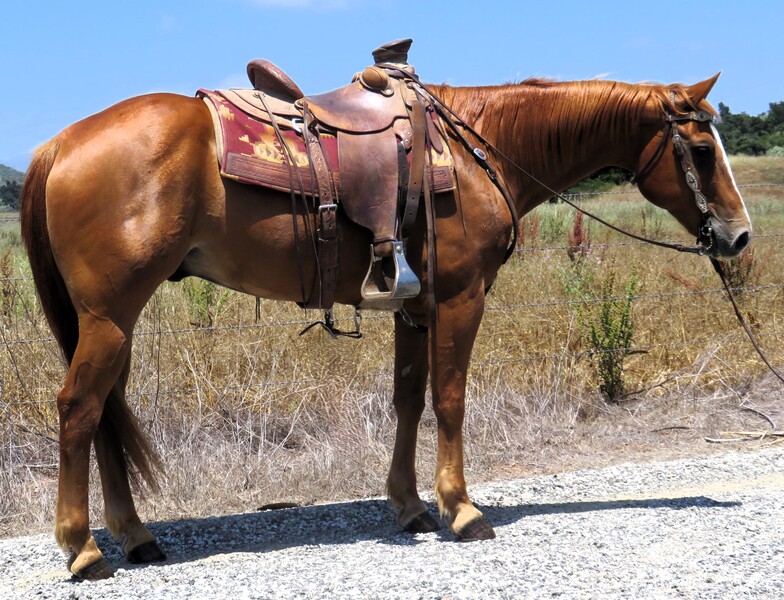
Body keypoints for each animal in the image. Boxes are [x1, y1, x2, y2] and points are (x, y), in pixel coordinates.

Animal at [21, 71, 752, 580]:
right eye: (699, 149)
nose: (740, 236)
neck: (477, 151)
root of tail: (60, 143)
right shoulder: (460, 298)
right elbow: (450, 399)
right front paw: (462, 509)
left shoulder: (414, 308)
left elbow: (407, 400)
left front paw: (411, 506)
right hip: (110, 317)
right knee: (80, 409)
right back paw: (84, 549)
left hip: (110, 321)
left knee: (105, 414)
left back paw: (135, 535)